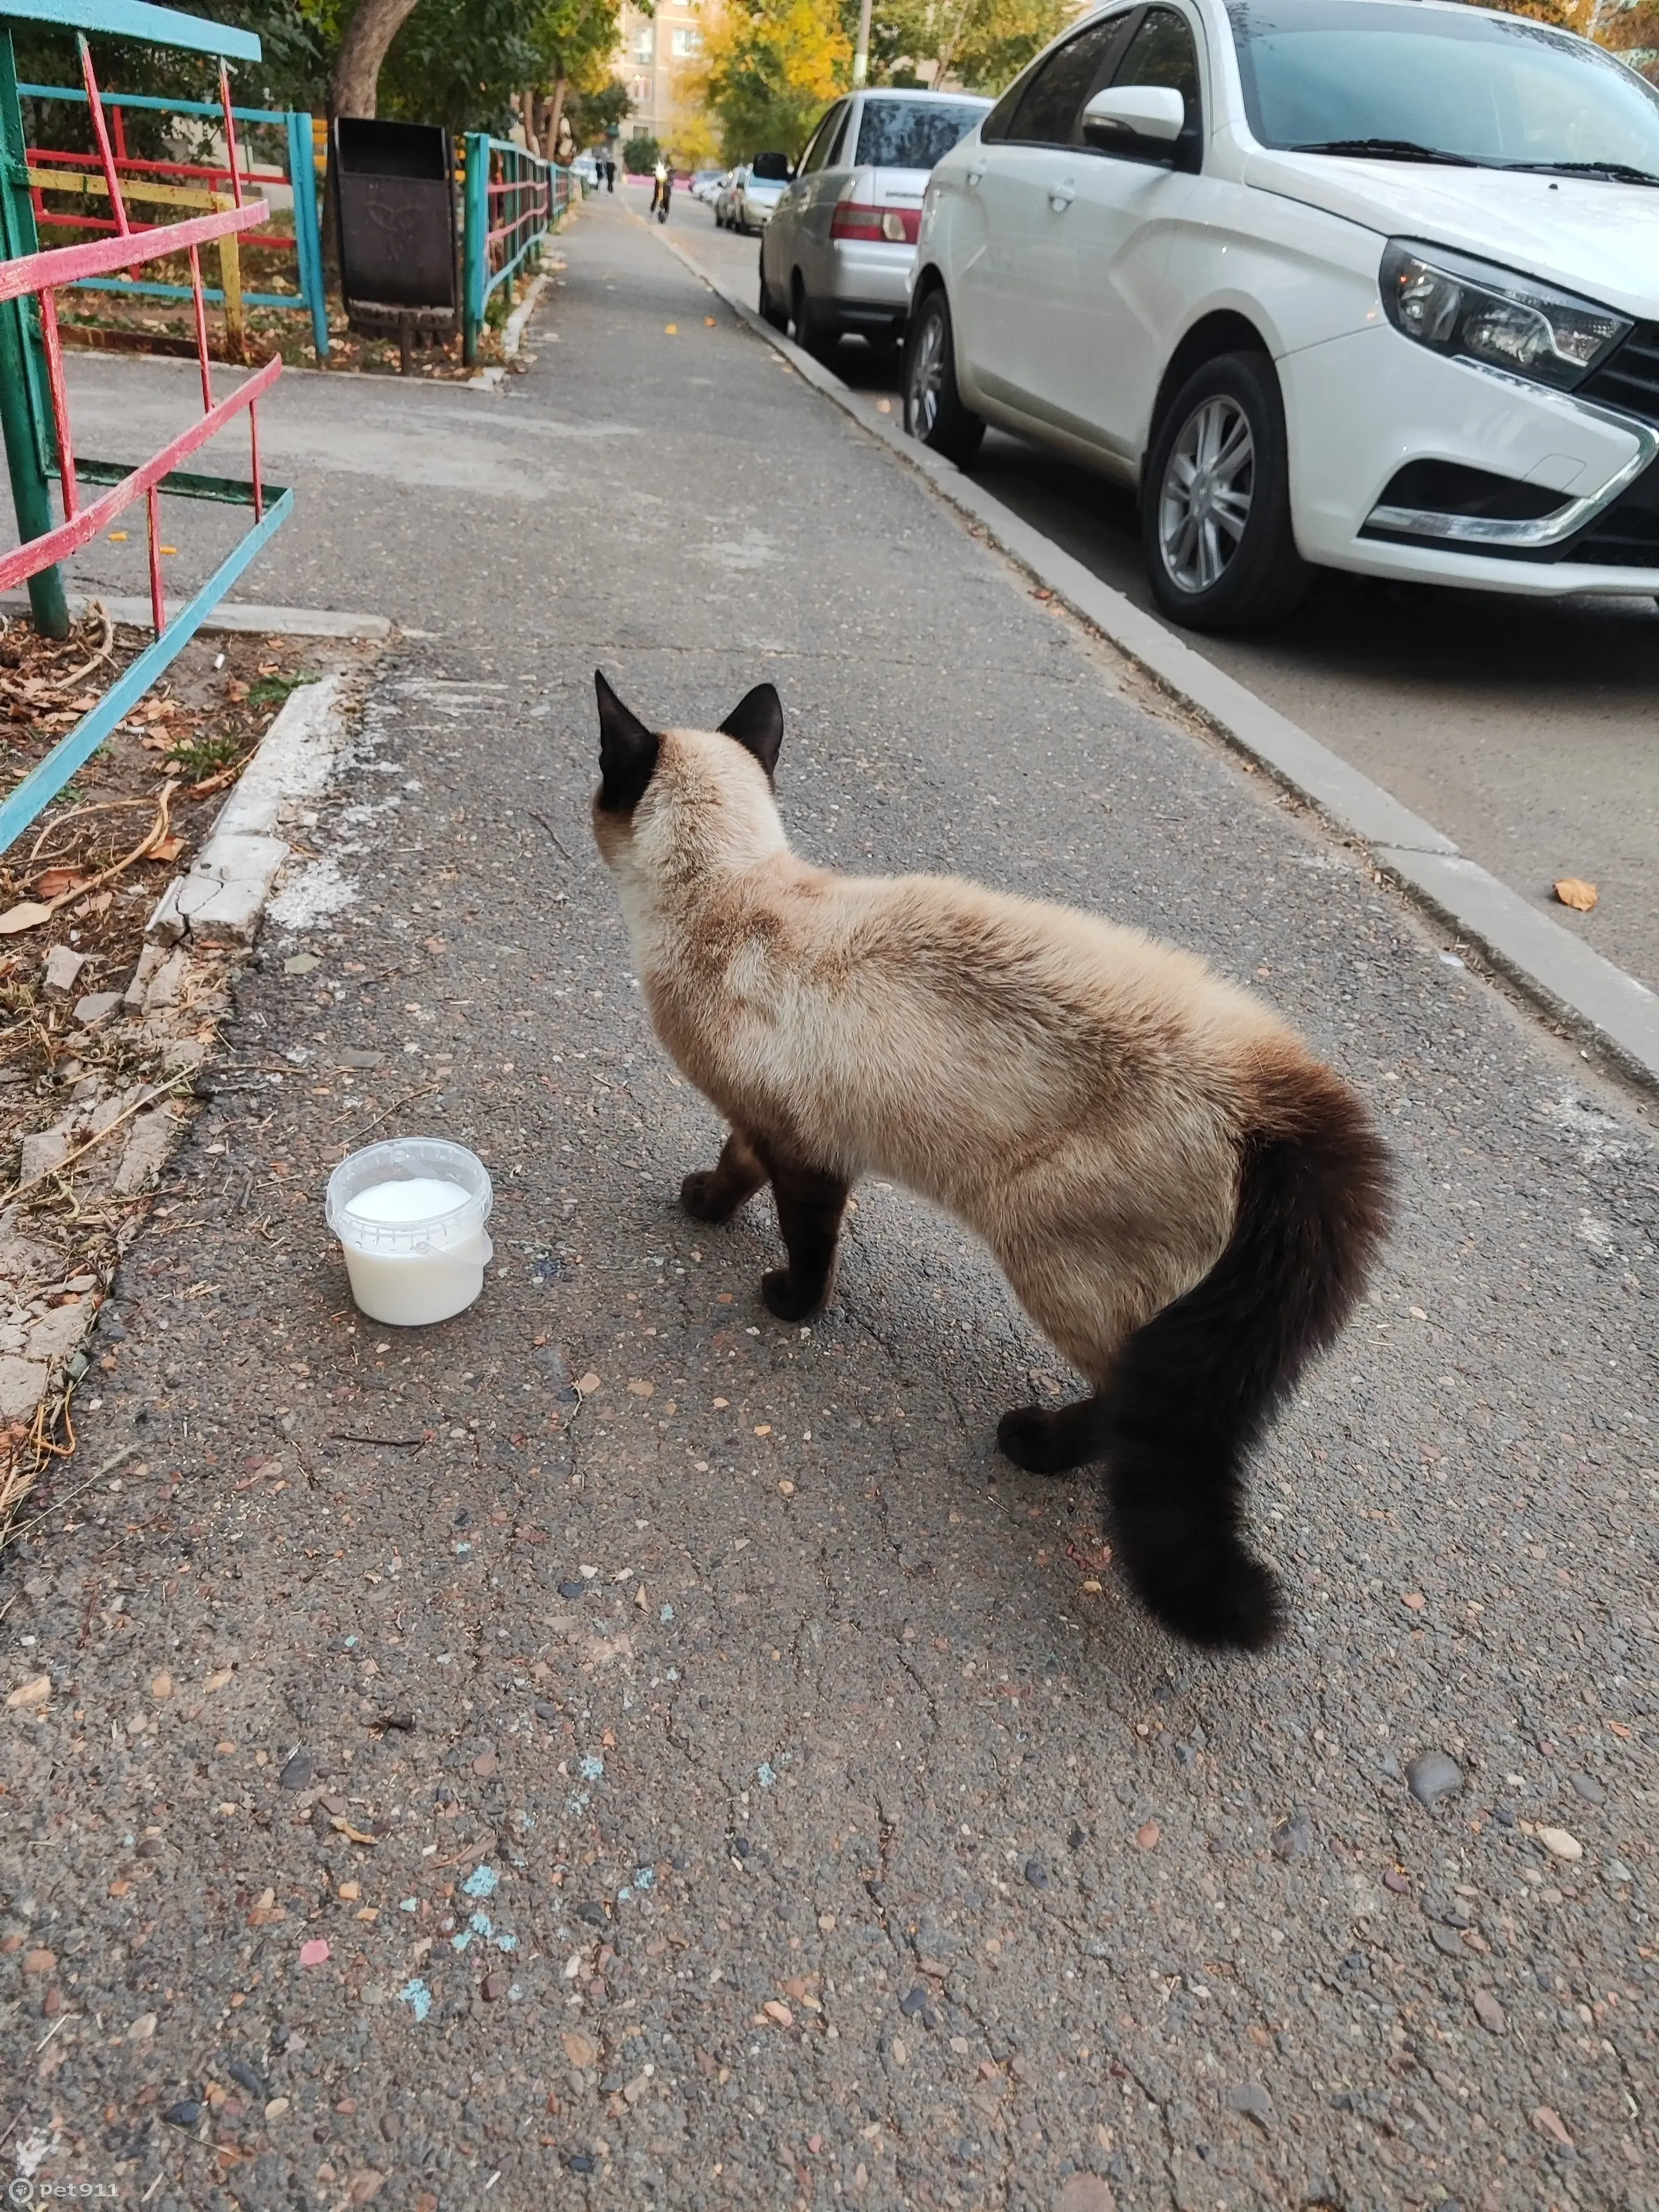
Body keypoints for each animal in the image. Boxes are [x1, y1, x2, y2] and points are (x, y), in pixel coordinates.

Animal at [592, 681, 1398, 1654]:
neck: (733, 895)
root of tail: (1283, 1107)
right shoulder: (767, 1131)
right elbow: (731, 1169)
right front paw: (705, 1205)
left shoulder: (805, 1153)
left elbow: (804, 1247)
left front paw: (783, 1300)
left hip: (1051, 1257)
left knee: (1132, 1399)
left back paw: (1034, 1446)